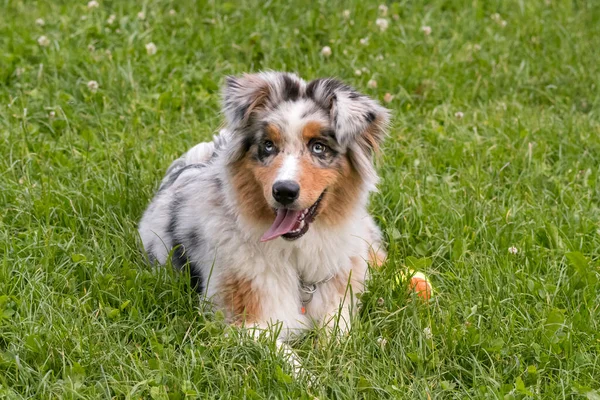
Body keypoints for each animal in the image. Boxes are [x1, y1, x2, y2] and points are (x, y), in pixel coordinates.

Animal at [139, 71, 390, 346]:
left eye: (318, 147)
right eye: (268, 145)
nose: (284, 191)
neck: (296, 255)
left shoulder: (338, 302)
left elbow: (338, 336)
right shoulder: (239, 320)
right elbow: (281, 349)